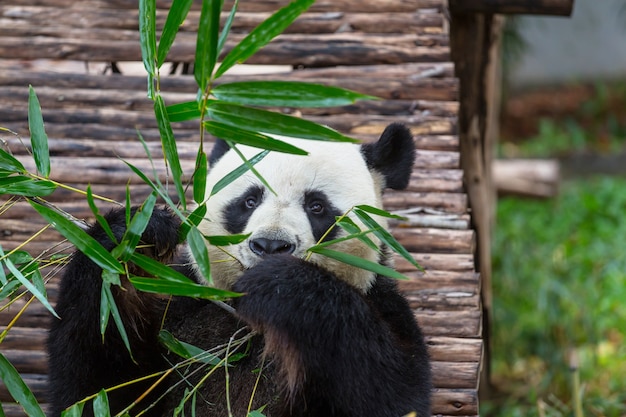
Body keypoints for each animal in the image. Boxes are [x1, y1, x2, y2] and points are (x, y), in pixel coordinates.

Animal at [47, 122, 428, 416]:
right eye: (249, 201)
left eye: (317, 206)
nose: (270, 246)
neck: (248, 321)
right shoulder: (182, 306)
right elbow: (99, 386)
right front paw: (133, 236)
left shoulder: (379, 303)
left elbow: (390, 389)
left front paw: (281, 283)